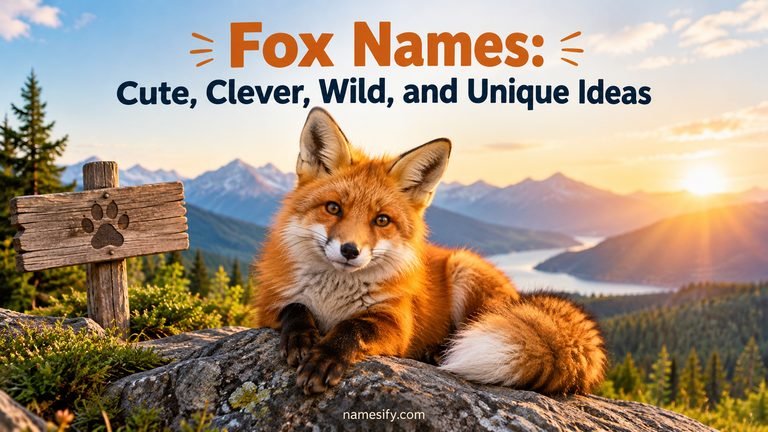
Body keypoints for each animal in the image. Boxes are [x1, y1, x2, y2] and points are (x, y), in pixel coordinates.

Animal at [253, 107, 606, 395]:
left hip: (466, 274)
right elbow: (295, 308)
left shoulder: (395, 323)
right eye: (333, 208)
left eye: (382, 220)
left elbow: (352, 328)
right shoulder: (270, 305)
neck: (333, 301)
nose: (350, 250)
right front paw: (301, 338)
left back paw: (438, 353)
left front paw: (325, 358)